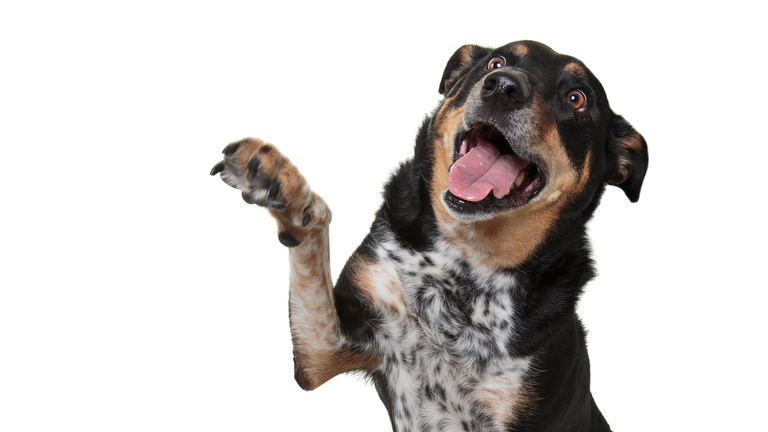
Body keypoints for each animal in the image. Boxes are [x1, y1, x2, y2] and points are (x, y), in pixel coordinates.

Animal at [210, 39, 648, 428]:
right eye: (497, 61)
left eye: (577, 98)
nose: (503, 86)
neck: (466, 266)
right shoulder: (326, 350)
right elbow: (314, 246)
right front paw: (283, 186)